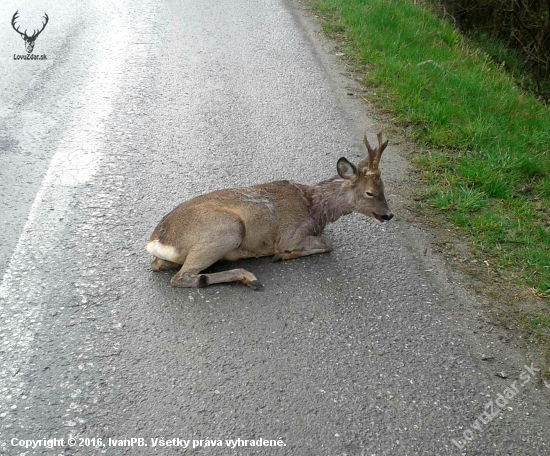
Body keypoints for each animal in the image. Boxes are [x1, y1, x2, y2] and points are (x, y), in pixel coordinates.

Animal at [148, 131, 392, 288]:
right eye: (370, 192)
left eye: (384, 188)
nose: (388, 215)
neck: (315, 208)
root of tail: (156, 240)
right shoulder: (290, 235)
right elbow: (328, 244)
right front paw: (283, 255)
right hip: (227, 229)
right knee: (181, 278)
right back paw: (248, 277)